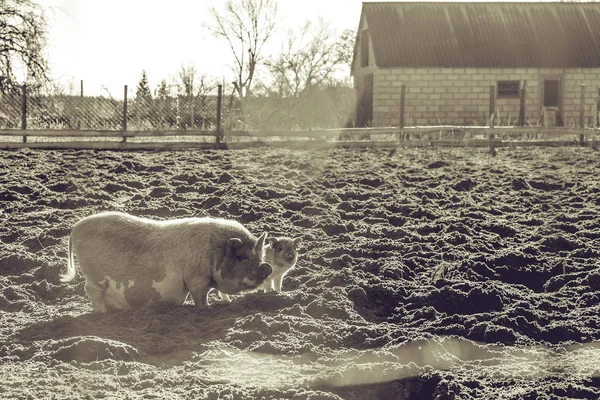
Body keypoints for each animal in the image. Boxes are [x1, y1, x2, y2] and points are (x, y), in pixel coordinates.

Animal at [59, 211, 272, 314]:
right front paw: (206, 309)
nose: (266, 267)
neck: (214, 251)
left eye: (259, 256)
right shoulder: (197, 278)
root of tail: (75, 228)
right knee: (91, 290)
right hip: (94, 276)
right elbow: (200, 296)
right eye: (242, 257)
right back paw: (102, 313)